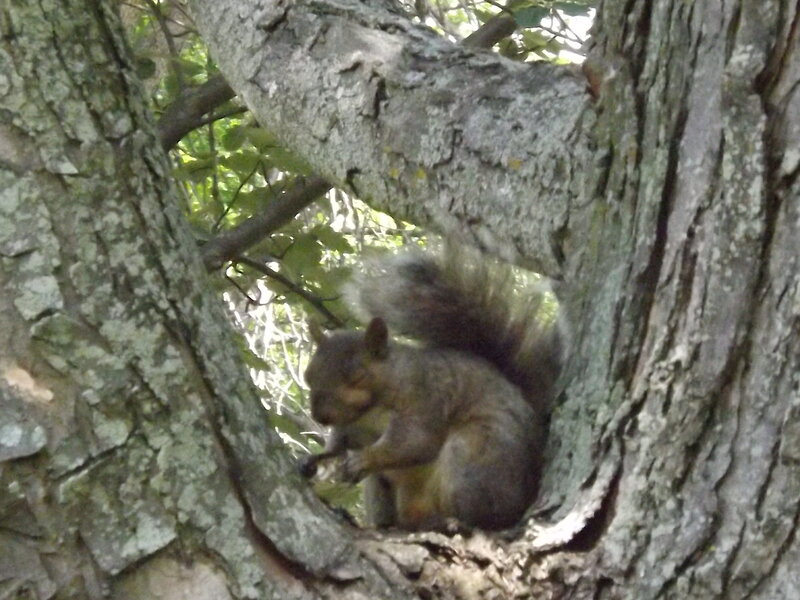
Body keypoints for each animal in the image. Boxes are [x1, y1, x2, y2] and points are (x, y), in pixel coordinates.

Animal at [301, 245, 562, 531]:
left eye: (358, 377)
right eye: (308, 376)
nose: (320, 416)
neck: (370, 410)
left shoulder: (425, 398)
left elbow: (414, 442)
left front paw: (364, 458)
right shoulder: (351, 427)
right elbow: (337, 445)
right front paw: (319, 459)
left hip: (475, 455)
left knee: (486, 515)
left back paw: (451, 522)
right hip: (384, 490)